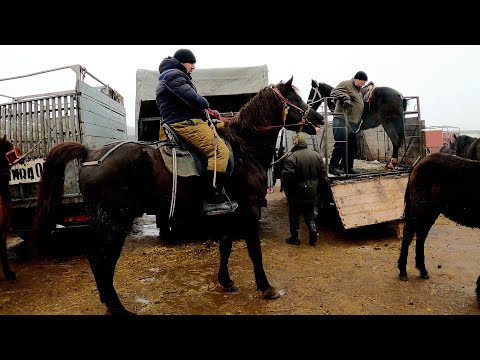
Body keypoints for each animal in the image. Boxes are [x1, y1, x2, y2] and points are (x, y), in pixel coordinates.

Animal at [31, 76, 324, 316]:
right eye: (296, 98)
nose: (319, 120)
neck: (244, 149)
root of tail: (91, 154)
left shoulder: (230, 211)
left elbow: (226, 246)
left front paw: (226, 281)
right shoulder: (249, 208)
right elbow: (254, 250)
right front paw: (265, 287)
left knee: (103, 259)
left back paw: (109, 301)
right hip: (115, 220)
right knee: (99, 257)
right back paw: (117, 306)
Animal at [400, 151, 480, 304]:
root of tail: (418, 163)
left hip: (431, 210)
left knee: (421, 235)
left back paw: (422, 270)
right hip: (421, 208)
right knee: (408, 233)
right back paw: (403, 272)